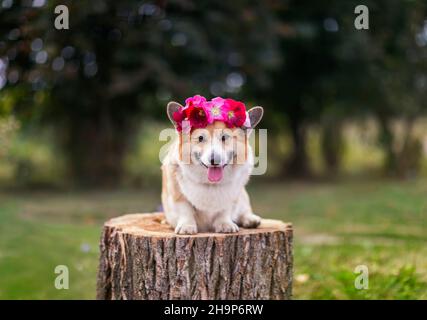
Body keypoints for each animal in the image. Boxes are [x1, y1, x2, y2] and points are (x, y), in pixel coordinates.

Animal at [161, 96, 264, 234]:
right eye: (200, 138)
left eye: (224, 137)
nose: (214, 160)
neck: (211, 184)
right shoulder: (178, 196)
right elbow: (185, 209)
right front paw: (186, 226)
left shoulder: (232, 197)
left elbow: (225, 210)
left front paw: (225, 224)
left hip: (242, 196)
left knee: (244, 210)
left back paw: (251, 219)